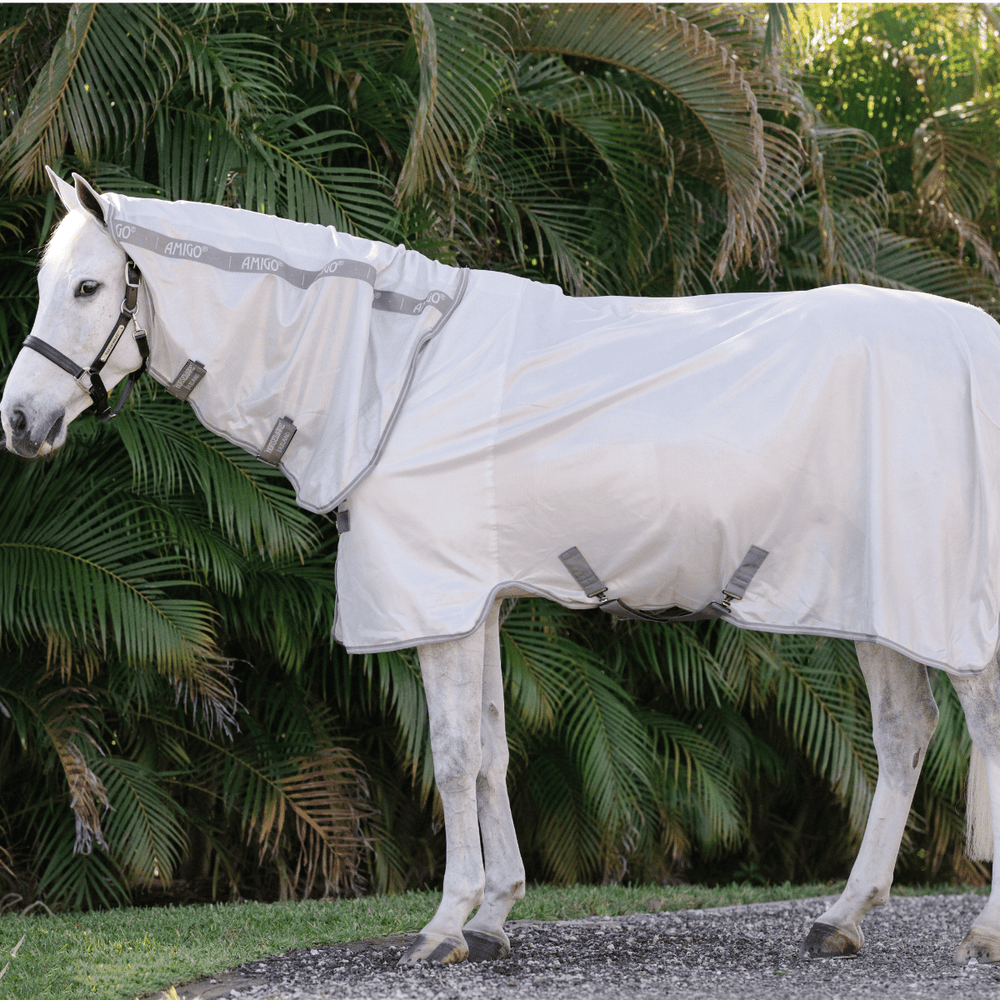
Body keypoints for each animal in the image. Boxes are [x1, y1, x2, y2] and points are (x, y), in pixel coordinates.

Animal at [3, 169, 1000, 966]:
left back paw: (979, 927)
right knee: (907, 736)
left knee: (974, 722)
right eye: (47, 283)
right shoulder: (472, 602)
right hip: (878, 600)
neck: (389, 373)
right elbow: (490, 750)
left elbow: (451, 757)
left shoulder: (434, 602)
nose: (18, 419)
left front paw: (446, 926)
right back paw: (843, 916)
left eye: (90, 286)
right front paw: (493, 916)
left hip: (934, 598)